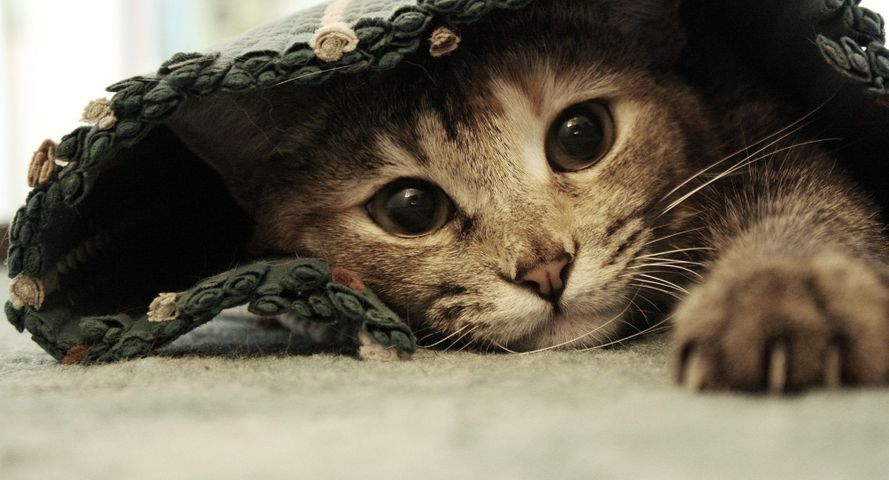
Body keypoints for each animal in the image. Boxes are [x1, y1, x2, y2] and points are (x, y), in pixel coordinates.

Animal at [166, 0, 888, 390]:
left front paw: (782, 296)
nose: (546, 270)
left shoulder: (763, 134)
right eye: (409, 207)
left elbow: (802, 206)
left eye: (581, 135)